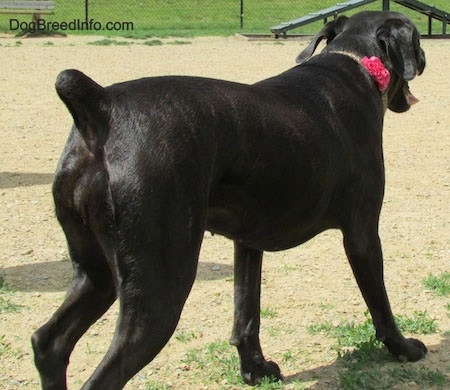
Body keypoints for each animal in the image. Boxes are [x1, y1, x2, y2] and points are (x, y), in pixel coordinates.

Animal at [31, 10, 426, 388]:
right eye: (419, 38)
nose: (423, 57)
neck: (356, 63)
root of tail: (101, 106)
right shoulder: (362, 234)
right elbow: (380, 304)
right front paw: (403, 348)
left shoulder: (248, 242)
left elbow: (246, 314)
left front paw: (255, 370)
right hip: (159, 288)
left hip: (96, 273)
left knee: (49, 342)